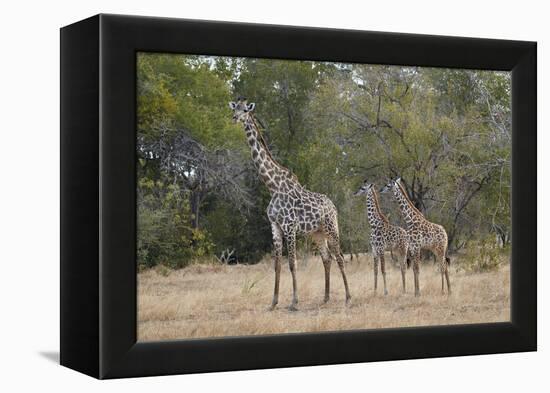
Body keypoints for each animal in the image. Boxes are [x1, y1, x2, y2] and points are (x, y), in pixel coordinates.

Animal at [230, 97, 354, 310]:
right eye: (235, 108)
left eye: (246, 110)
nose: (235, 118)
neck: (272, 186)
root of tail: (333, 206)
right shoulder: (275, 226)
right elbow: (278, 264)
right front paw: (273, 303)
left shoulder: (289, 226)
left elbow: (292, 263)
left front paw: (294, 302)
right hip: (317, 233)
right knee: (327, 258)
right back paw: (326, 297)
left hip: (331, 227)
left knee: (339, 257)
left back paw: (347, 297)